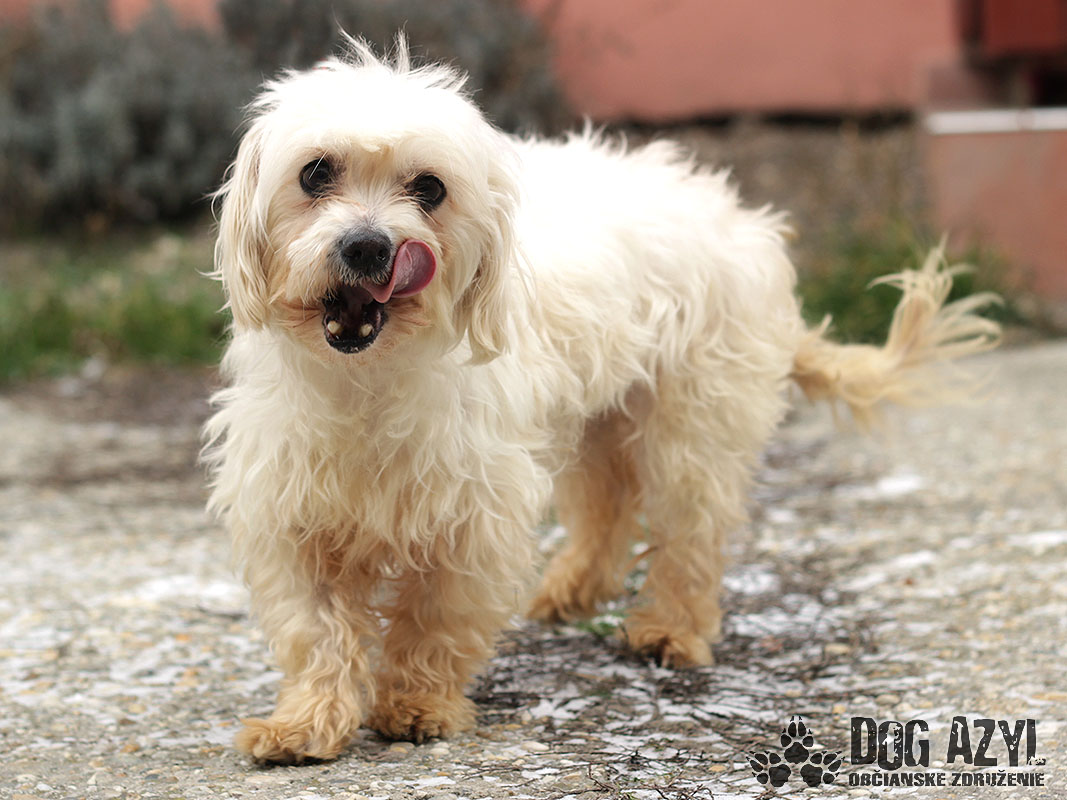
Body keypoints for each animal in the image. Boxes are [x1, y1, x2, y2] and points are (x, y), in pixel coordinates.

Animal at [203, 38, 999, 763]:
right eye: (315, 172)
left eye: (428, 189)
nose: (368, 247)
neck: (365, 383)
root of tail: (743, 219)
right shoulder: (289, 515)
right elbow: (315, 633)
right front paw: (305, 725)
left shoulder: (476, 518)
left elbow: (435, 618)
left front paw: (417, 704)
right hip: (593, 424)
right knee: (609, 509)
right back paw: (574, 591)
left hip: (689, 431)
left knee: (691, 535)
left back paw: (672, 629)